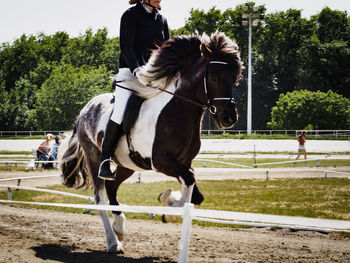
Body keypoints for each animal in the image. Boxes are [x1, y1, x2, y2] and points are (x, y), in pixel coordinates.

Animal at [58, 32, 242, 255]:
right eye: (214, 77)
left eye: (234, 78)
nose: (229, 118)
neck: (176, 111)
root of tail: (85, 109)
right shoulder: (161, 161)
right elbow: (188, 184)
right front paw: (168, 203)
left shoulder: (184, 163)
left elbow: (194, 193)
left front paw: (169, 203)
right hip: (94, 157)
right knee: (100, 196)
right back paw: (113, 242)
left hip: (126, 165)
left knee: (112, 187)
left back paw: (120, 227)